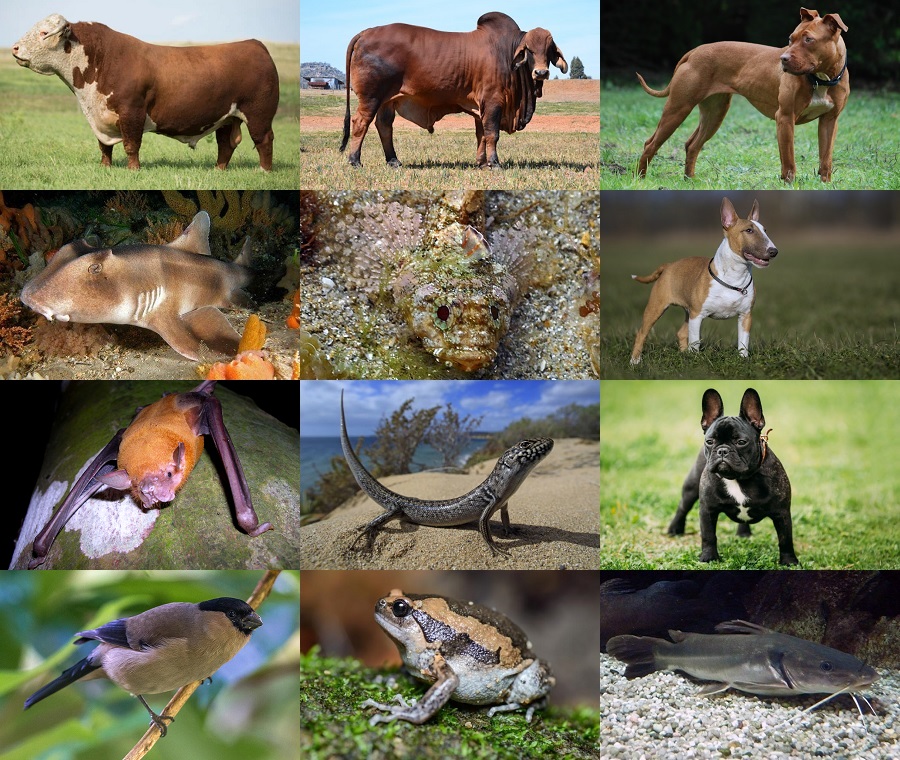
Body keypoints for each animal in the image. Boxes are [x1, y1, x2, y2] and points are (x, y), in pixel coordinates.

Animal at [12, 14, 279, 171]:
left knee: (263, 140)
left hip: (259, 114)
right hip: (227, 117)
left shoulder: (132, 112)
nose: (14, 48)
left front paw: (133, 170)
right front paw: (105, 168)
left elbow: (131, 144)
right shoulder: (100, 118)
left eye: (43, 33)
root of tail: (255, 44)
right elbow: (104, 146)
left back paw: (264, 172)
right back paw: (217, 171)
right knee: (226, 144)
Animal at [340, 11, 567, 169]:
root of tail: (366, 32)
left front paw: (481, 163)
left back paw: (393, 160)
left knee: (384, 125)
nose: (541, 72)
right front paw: (494, 163)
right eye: (529, 50)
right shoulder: (493, 101)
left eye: (549, 50)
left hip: (388, 100)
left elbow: (481, 135)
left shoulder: (481, 107)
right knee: (361, 123)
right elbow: (492, 134)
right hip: (371, 97)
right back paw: (355, 161)